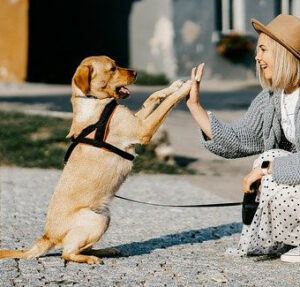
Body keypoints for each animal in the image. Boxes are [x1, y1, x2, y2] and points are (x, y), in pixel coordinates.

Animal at [0, 56, 192, 266]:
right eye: (112, 69)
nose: (136, 73)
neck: (94, 102)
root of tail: (48, 236)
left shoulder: (137, 121)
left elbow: (152, 97)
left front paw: (174, 85)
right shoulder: (142, 129)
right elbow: (167, 104)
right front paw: (187, 87)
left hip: (105, 216)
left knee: (80, 247)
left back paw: (106, 250)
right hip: (96, 220)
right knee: (66, 253)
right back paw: (90, 258)